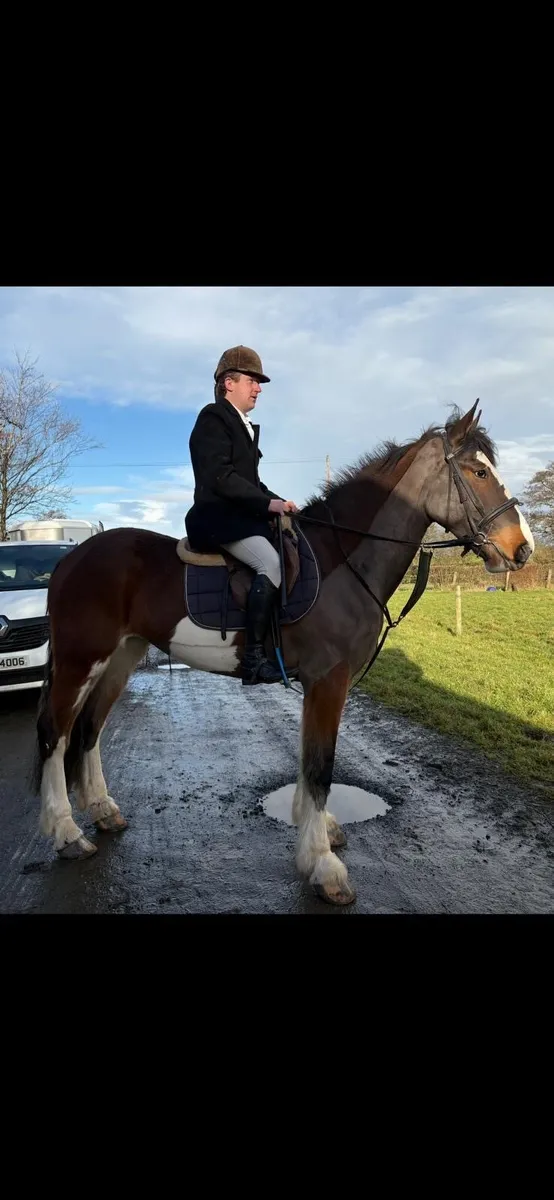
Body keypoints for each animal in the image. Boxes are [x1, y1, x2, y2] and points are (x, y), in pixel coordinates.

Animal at [31, 401, 534, 906]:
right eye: (478, 472)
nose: (523, 549)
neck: (343, 560)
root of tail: (70, 560)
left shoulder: (321, 683)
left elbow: (310, 760)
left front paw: (319, 829)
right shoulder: (328, 680)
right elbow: (320, 766)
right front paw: (323, 866)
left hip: (121, 658)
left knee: (90, 730)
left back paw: (102, 809)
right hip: (81, 660)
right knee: (56, 734)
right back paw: (67, 833)